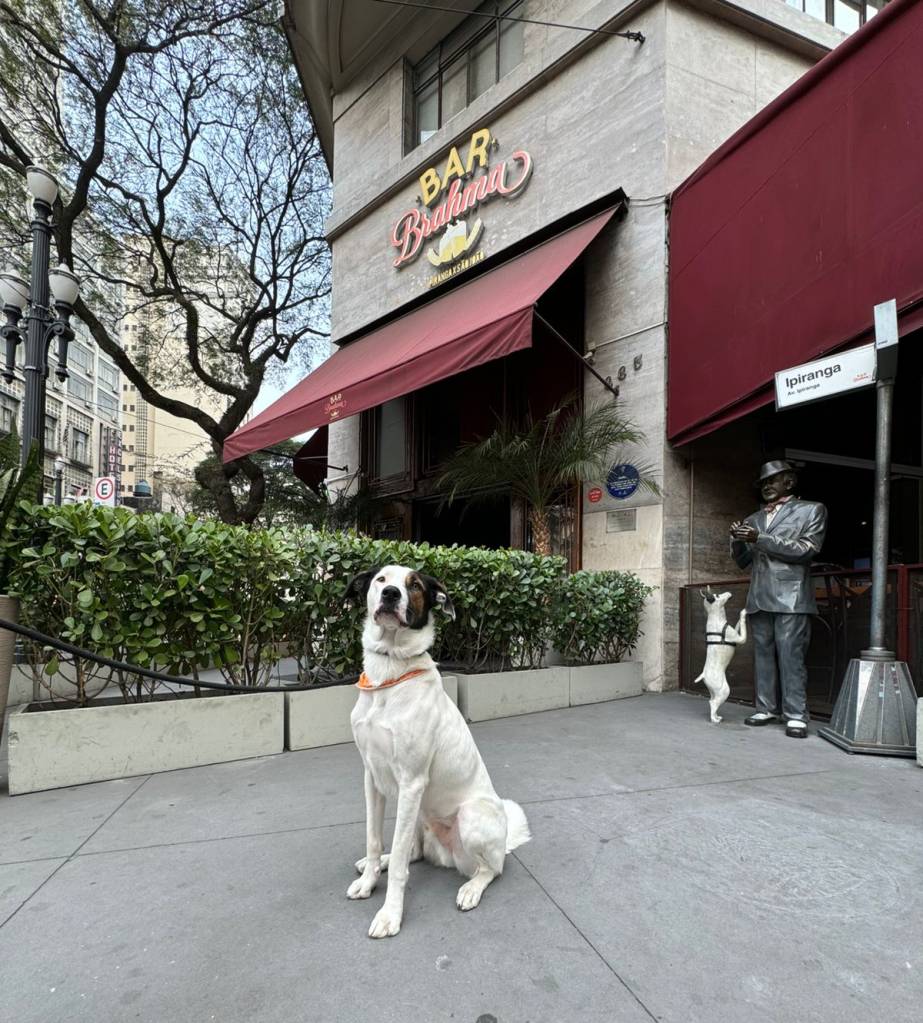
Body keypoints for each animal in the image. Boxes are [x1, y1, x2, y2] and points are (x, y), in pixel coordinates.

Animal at [345, 564, 532, 937]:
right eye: (381, 579)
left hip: (469, 817)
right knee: (413, 851)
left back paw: (471, 888)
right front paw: (371, 878)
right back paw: (385, 861)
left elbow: (400, 865)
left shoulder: (412, 781)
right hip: (418, 812)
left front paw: (390, 914)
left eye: (415, 586)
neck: (388, 674)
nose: (391, 595)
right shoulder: (372, 776)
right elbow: (375, 839)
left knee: (491, 869)